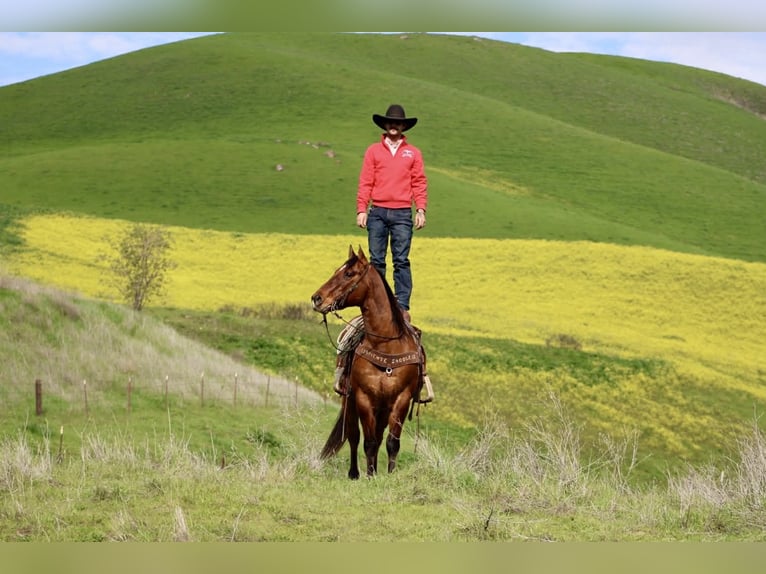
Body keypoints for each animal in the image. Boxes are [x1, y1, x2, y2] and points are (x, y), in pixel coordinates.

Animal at [311, 245, 425, 479]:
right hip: (350, 402)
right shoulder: (363, 398)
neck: (386, 344)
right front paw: (371, 476)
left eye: (348, 273)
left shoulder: (401, 399)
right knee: (353, 436)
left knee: (380, 437)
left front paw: (389, 475)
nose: (317, 298)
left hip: (383, 408)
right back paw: (354, 473)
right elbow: (368, 442)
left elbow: (391, 443)